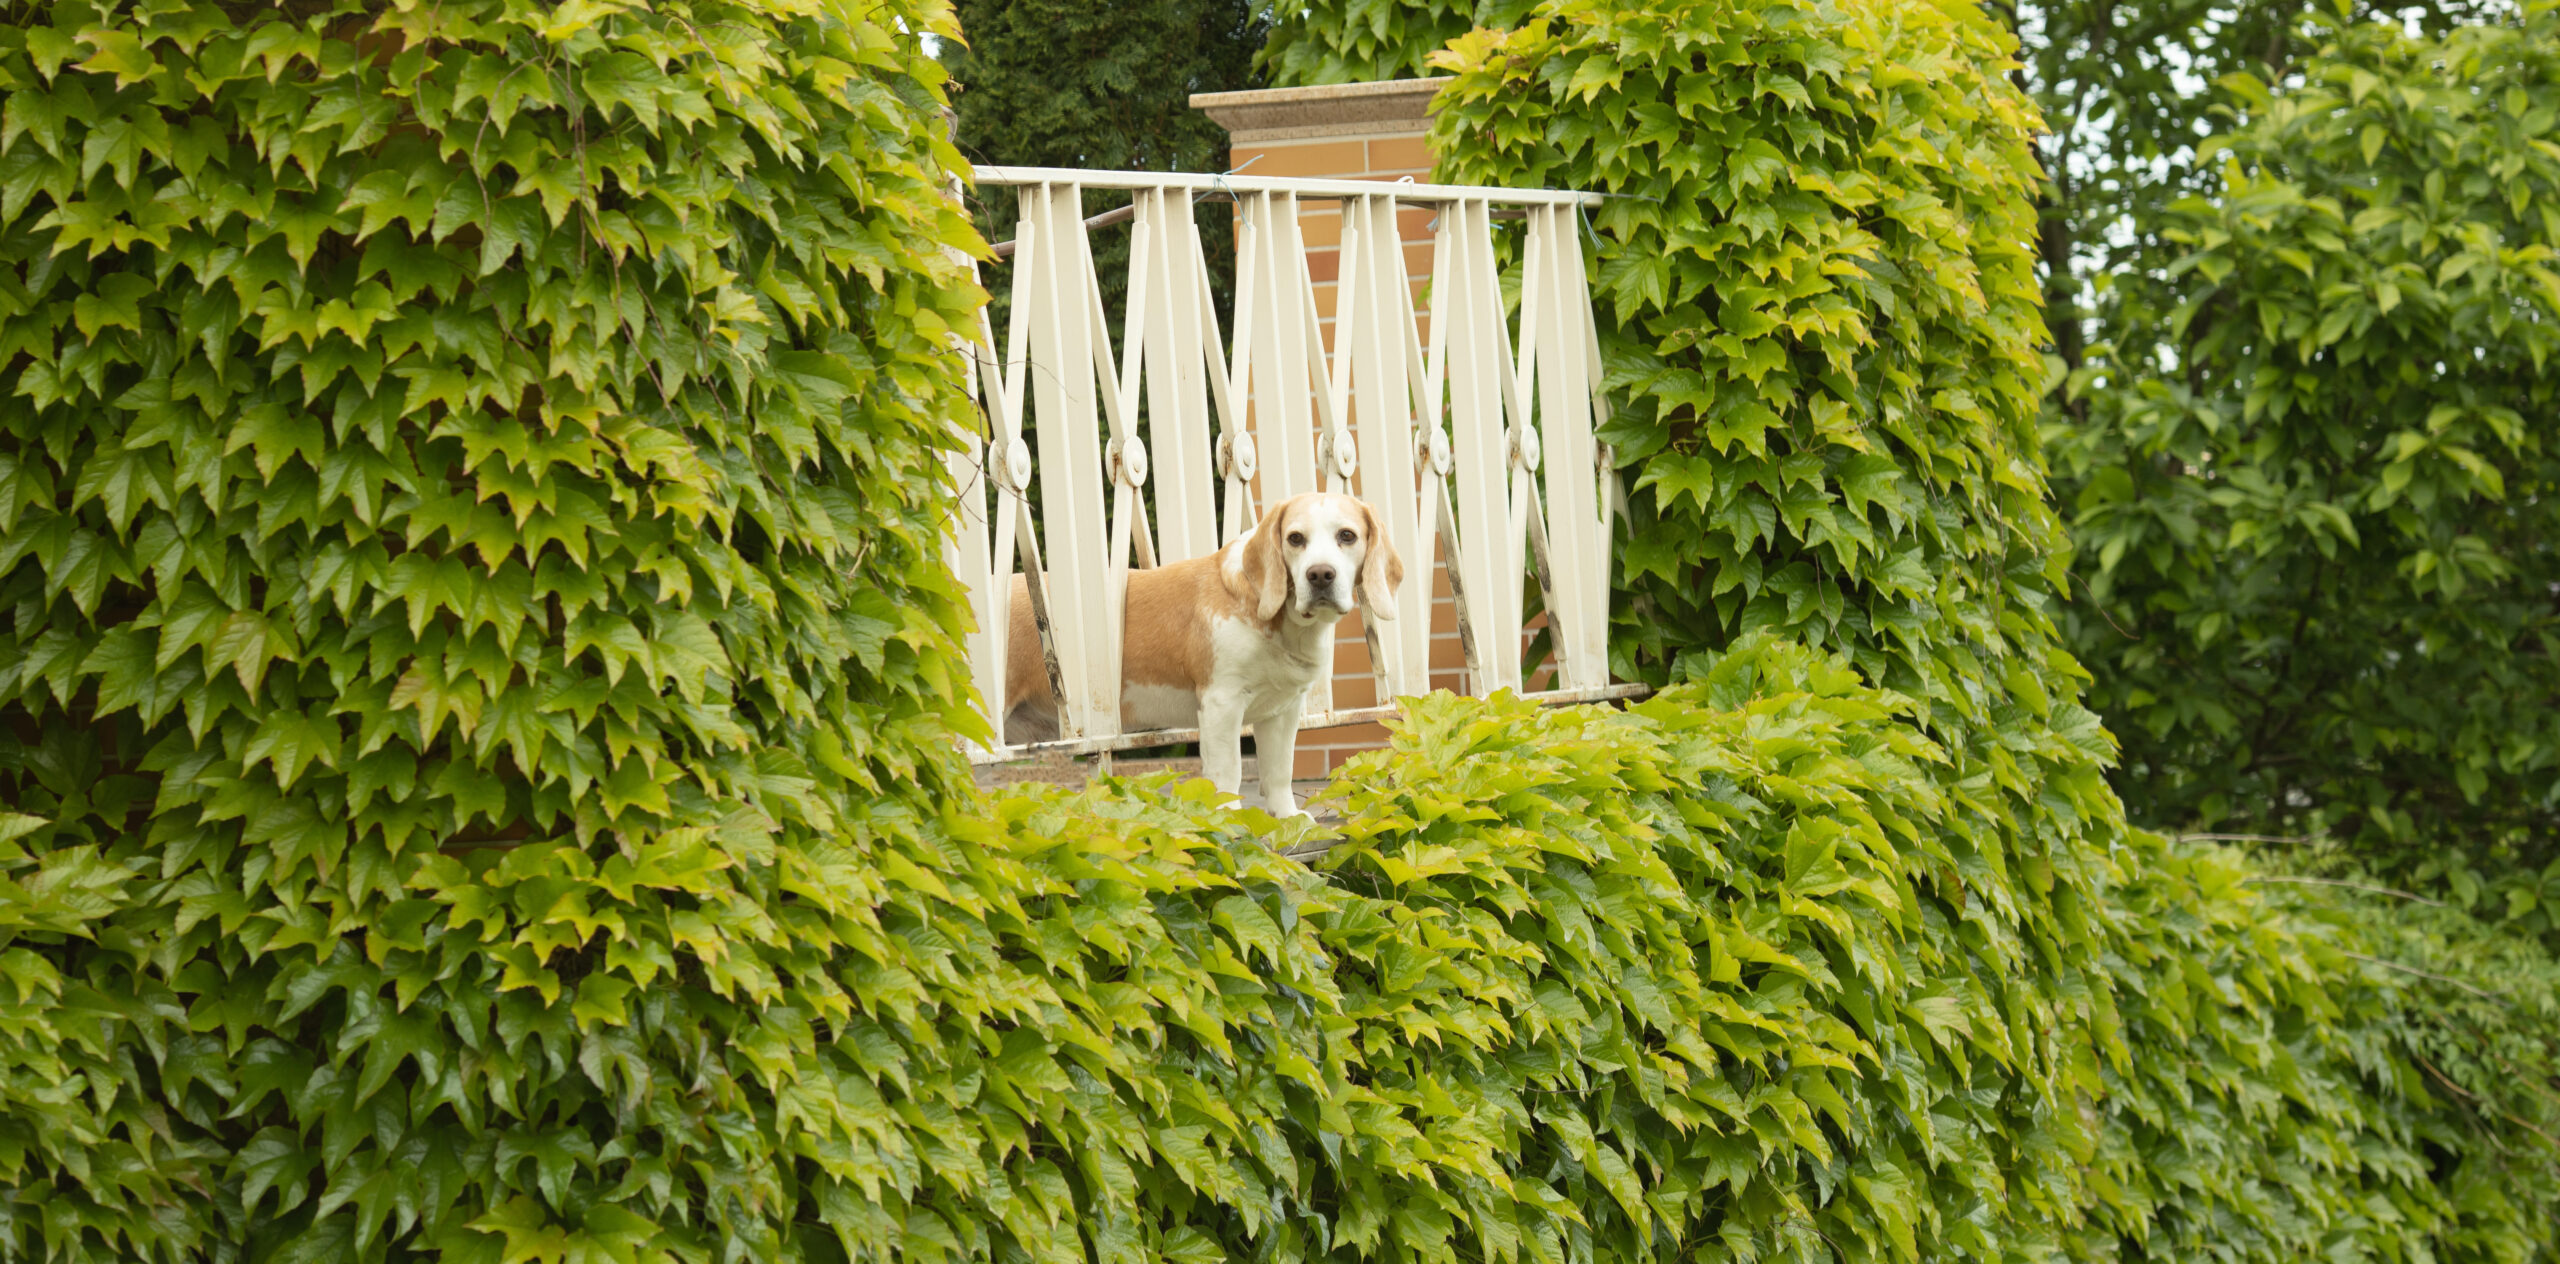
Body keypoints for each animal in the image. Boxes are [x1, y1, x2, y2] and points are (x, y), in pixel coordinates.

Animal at [998, 493, 1402, 818]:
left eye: (1347, 536)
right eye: (1295, 539)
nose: (1319, 575)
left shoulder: (1283, 710)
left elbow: (1279, 770)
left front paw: (1288, 818)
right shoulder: (1222, 704)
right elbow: (1228, 772)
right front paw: (1231, 820)